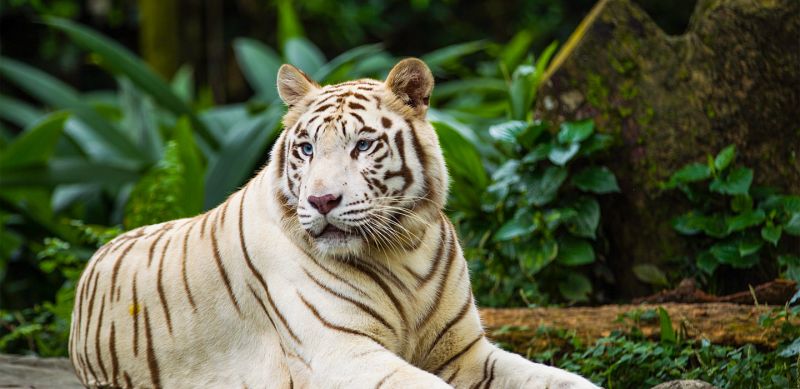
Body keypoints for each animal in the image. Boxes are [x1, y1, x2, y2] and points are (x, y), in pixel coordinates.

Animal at [69, 57, 600, 388]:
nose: (322, 200)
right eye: (306, 148)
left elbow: (561, 380)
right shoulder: (342, 354)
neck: (403, 248)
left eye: (362, 145)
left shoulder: (464, 353)